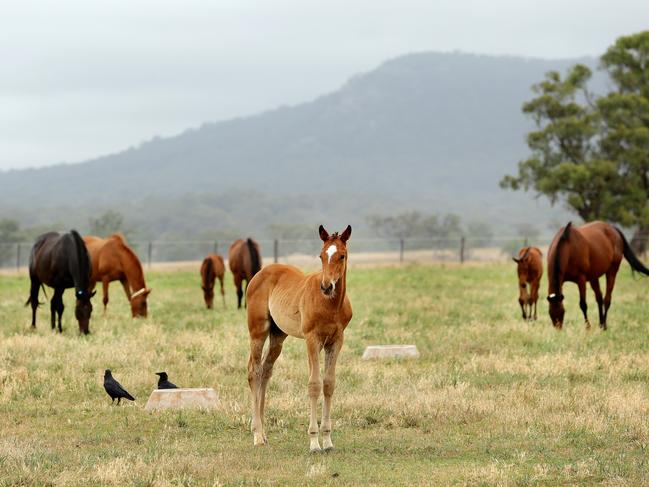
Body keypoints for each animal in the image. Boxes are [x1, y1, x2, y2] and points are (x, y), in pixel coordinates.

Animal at [244, 225, 352, 454]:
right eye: (321, 256)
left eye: (342, 255)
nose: (326, 286)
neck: (330, 305)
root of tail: (260, 273)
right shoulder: (312, 339)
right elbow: (314, 384)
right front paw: (314, 442)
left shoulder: (336, 341)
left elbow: (328, 384)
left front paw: (327, 440)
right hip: (258, 331)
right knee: (254, 371)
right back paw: (257, 434)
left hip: (278, 335)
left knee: (266, 371)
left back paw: (264, 434)